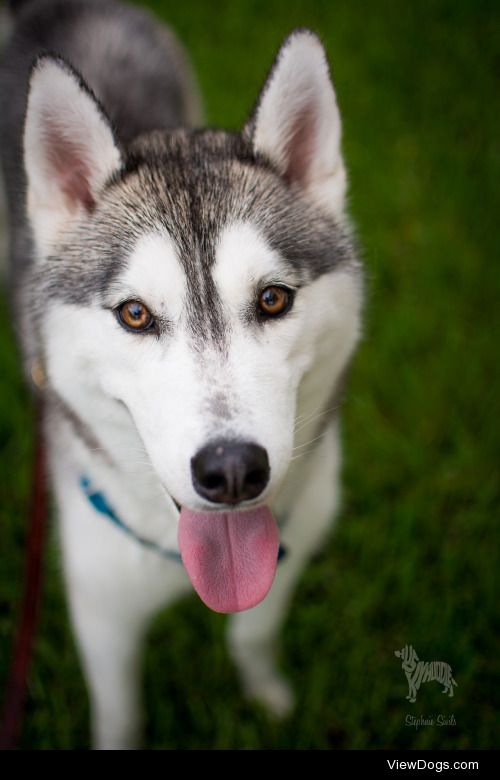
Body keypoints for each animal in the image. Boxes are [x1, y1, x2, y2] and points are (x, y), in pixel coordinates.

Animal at [0, 0, 364, 748]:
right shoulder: (102, 607)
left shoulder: (288, 557)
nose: (232, 471)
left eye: (273, 299)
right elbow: (119, 712)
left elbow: (252, 637)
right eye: (135, 314)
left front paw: (267, 695)